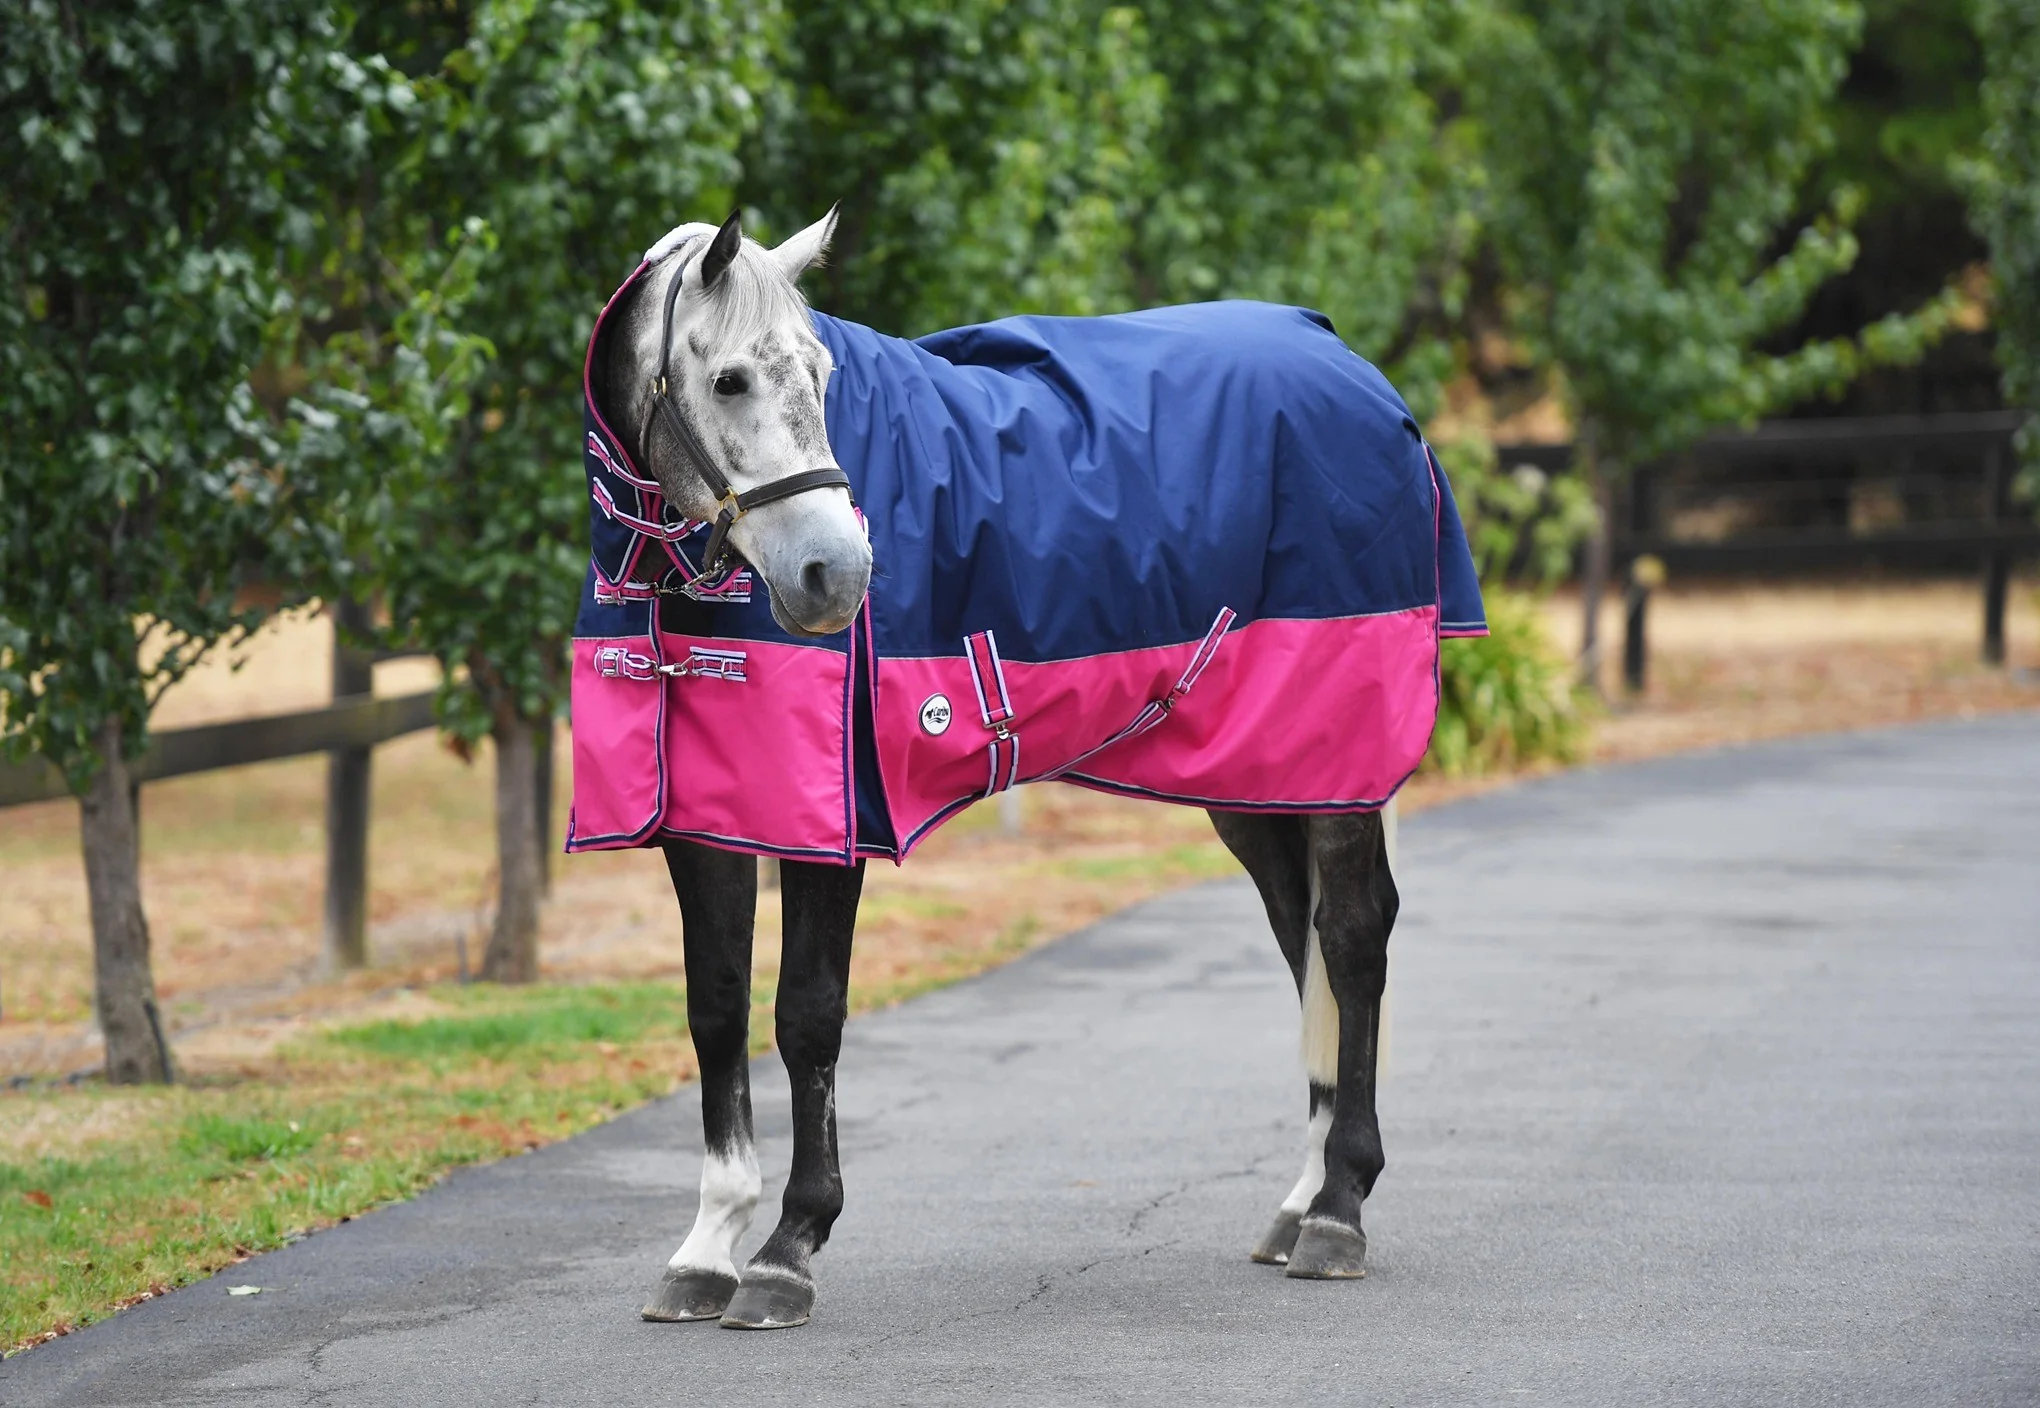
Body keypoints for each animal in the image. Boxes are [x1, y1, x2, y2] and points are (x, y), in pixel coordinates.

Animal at [570, 209, 1485, 1330]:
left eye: (822, 376)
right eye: (733, 379)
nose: (839, 575)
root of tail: (1348, 360)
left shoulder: (838, 817)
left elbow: (806, 1016)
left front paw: (788, 1248)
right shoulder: (714, 815)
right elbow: (714, 1010)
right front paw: (706, 1248)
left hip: (1338, 748)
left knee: (1351, 942)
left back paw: (1340, 1211)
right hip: (1265, 776)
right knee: (1303, 937)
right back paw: (1301, 1200)